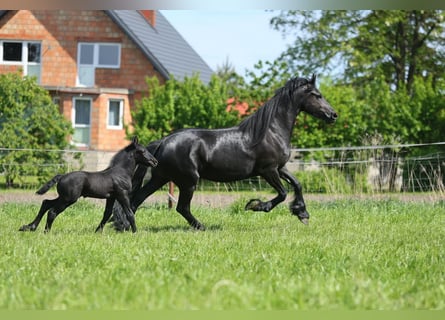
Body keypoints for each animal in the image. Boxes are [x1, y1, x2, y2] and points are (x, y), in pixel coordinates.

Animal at [19, 136, 158, 234]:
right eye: (142, 151)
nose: (155, 162)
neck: (120, 172)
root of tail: (62, 176)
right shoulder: (122, 194)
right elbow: (129, 213)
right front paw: (135, 232)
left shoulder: (111, 197)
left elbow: (107, 214)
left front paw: (97, 232)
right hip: (68, 199)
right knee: (52, 211)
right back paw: (46, 232)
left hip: (63, 197)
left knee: (46, 203)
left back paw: (29, 227)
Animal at [112, 74, 336, 231]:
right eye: (317, 95)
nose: (333, 115)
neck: (271, 130)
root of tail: (163, 142)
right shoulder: (268, 170)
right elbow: (282, 193)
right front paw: (255, 206)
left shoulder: (280, 168)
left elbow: (297, 184)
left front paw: (302, 213)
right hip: (188, 181)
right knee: (181, 207)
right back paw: (201, 227)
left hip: (161, 177)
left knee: (137, 199)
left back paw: (124, 226)